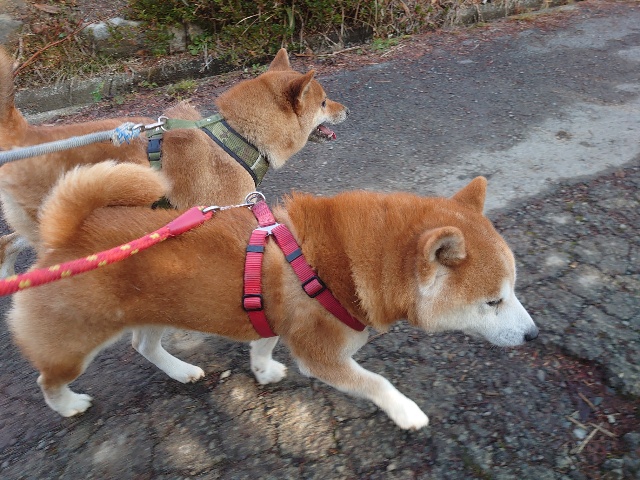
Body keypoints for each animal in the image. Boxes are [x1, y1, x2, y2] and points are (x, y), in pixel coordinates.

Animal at [7, 162, 538, 429]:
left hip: (155, 309)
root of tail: (63, 234)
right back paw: (67, 405)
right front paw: (405, 411)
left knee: (143, 345)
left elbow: (262, 344)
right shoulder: (323, 356)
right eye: (493, 301)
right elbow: (377, 383)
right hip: (74, 346)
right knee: (47, 380)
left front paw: (262, 371)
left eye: (511, 291)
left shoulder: (269, 315)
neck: (336, 263)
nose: (534, 335)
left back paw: (180, 371)